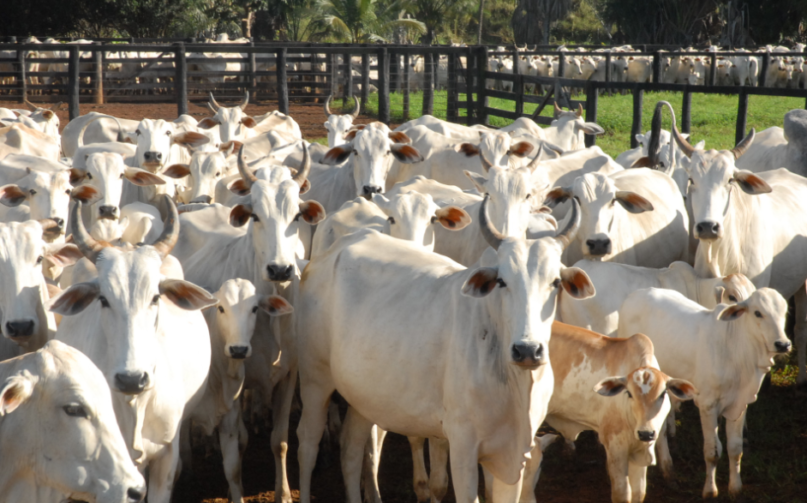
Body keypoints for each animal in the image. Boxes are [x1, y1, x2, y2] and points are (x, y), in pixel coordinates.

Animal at [620, 288, 792, 500]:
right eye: (758, 313)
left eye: (784, 312)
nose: (783, 344)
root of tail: (637, 293)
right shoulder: (707, 405)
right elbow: (712, 452)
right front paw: (710, 490)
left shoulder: (739, 405)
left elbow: (735, 449)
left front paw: (735, 488)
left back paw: (668, 471)